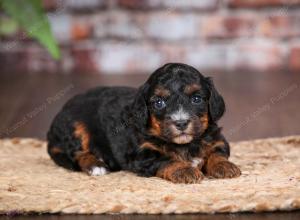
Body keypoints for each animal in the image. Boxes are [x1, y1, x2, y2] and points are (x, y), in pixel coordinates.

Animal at [47, 62, 241, 183]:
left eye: (196, 99)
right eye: (159, 103)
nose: (181, 123)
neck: (184, 145)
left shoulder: (216, 139)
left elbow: (217, 152)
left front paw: (225, 166)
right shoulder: (143, 154)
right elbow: (166, 159)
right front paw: (184, 170)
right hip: (76, 125)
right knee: (78, 153)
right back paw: (96, 165)